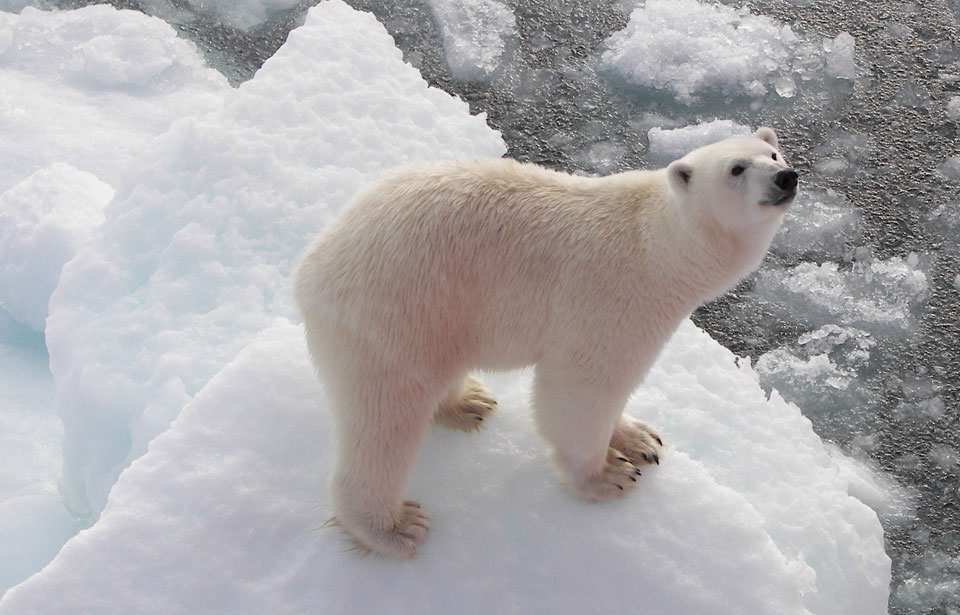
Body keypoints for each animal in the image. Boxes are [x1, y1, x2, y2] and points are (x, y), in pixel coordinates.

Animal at [296, 126, 800, 560]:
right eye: (736, 168)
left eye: (774, 154)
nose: (786, 177)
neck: (658, 243)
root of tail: (312, 269)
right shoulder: (613, 298)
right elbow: (581, 388)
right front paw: (609, 474)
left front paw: (641, 438)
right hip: (394, 312)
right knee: (385, 418)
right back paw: (393, 526)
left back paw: (468, 402)